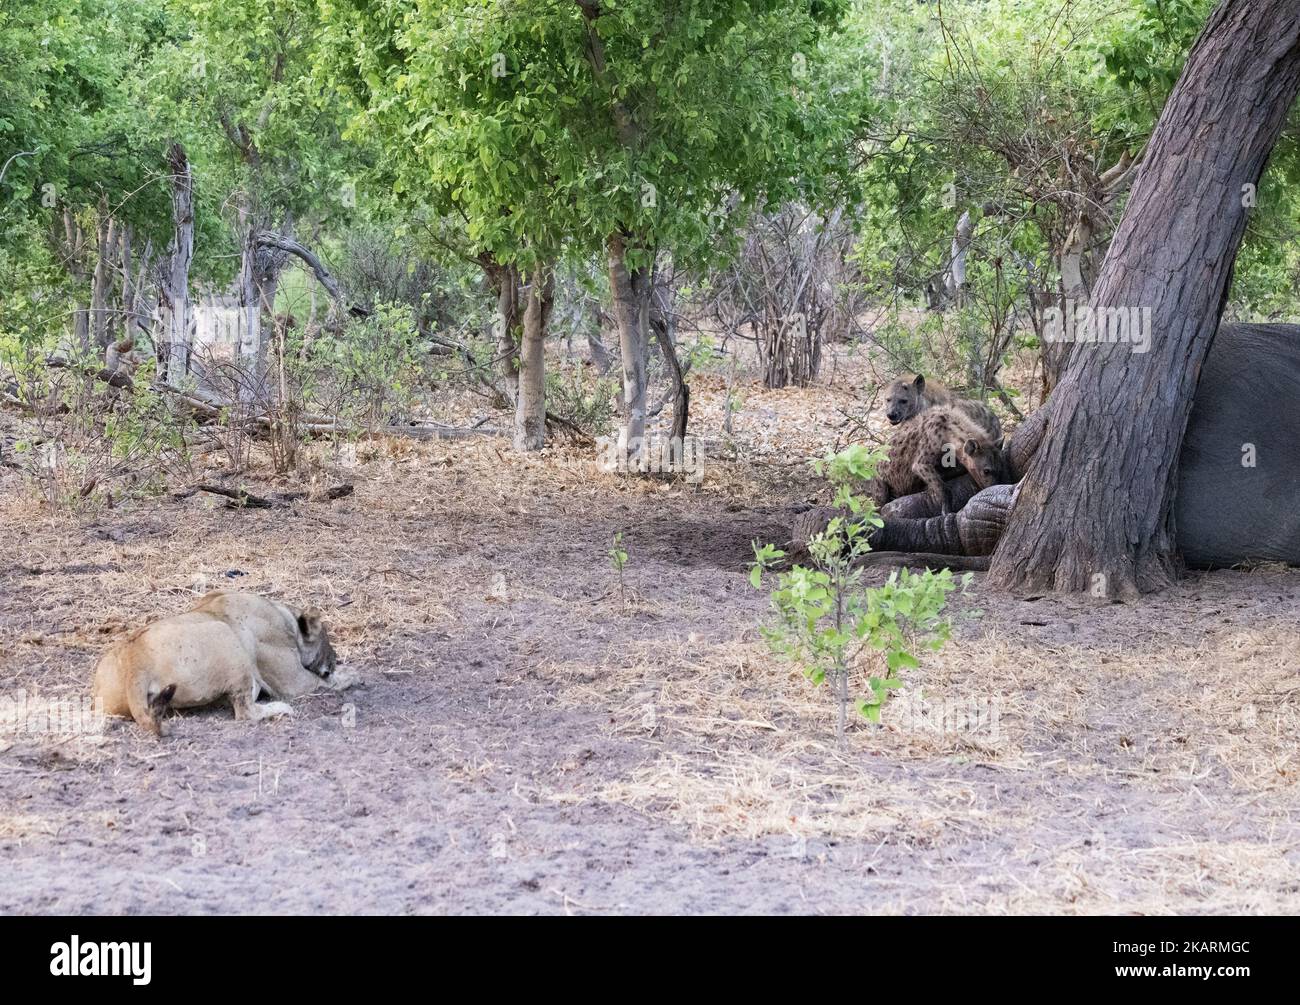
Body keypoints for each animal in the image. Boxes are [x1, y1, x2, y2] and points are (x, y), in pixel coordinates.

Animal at [92, 587, 358, 738]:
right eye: (327, 639)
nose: (334, 660)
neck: (286, 616)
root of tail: (134, 659)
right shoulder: (293, 681)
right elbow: (325, 681)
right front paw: (349, 674)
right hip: (227, 637)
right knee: (245, 712)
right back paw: (280, 709)